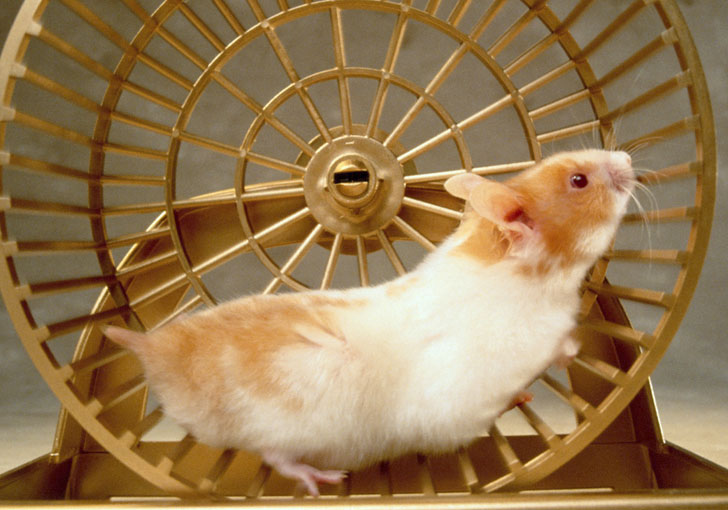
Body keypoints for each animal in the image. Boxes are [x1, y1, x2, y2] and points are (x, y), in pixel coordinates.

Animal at [104, 149, 635, 496]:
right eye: (579, 181)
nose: (627, 156)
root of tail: (154, 348)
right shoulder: (479, 387)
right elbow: (535, 366)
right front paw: (557, 360)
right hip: (278, 428)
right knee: (275, 456)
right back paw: (321, 479)